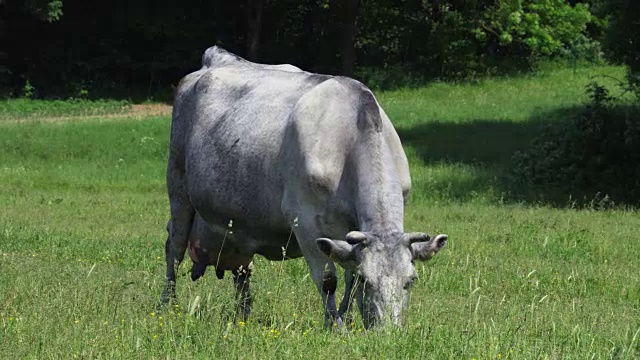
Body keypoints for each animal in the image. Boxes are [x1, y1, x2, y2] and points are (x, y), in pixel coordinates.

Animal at [160, 45, 448, 330]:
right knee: (174, 248)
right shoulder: (304, 221)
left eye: (411, 280)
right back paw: (168, 305)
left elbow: (348, 278)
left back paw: (243, 314)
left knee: (241, 269)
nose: (388, 332)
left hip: (237, 221)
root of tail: (217, 56)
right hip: (178, 185)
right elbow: (329, 280)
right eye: (368, 280)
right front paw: (335, 326)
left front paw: (347, 319)